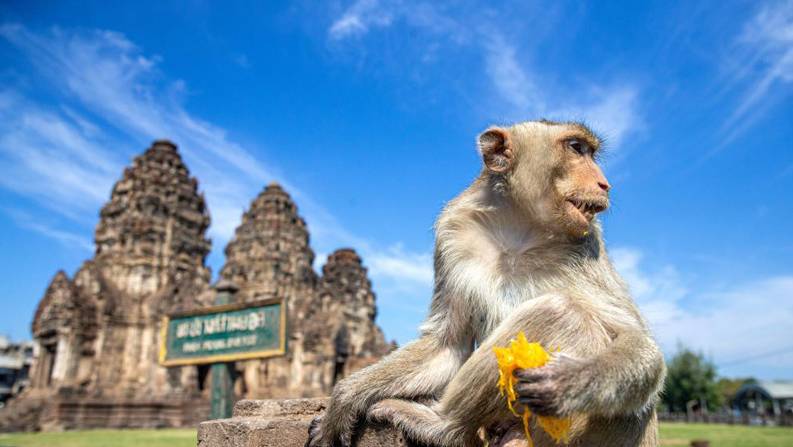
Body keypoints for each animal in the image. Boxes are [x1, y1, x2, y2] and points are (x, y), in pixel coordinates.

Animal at [306, 120, 664, 447]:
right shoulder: (452, 232)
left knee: (561, 312)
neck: (519, 229)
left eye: (588, 151)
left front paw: (570, 382)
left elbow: (639, 342)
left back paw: (443, 426)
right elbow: (447, 344)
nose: (605, 184)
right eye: (576, 148)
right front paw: (345, 398)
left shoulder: (589, 245)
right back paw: (445, 424)